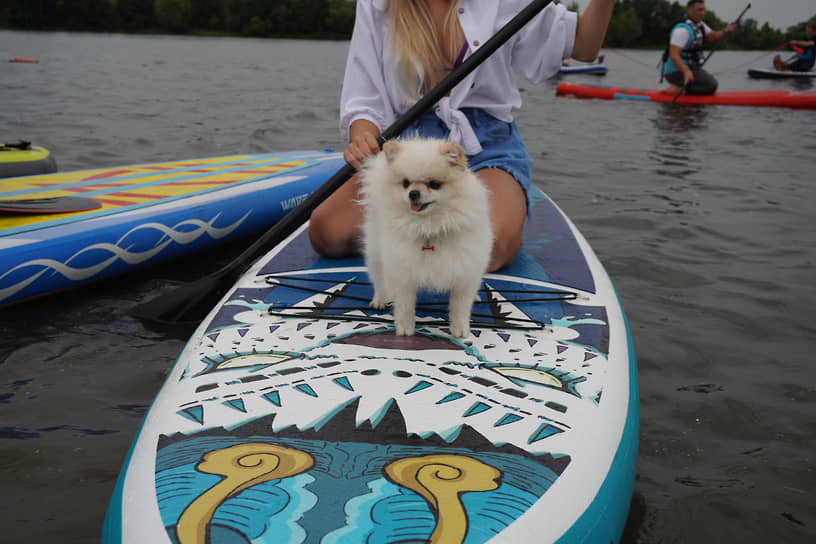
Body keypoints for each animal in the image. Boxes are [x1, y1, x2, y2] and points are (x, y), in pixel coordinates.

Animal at [356, 138, 490, 338]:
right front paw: (405, 328)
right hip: (376, 251)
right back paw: (379, 298)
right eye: (406, 183)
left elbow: (460, 307)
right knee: (378, 277)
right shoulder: (403, 272)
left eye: (434, 184)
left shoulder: (465, 270)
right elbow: (404, 306)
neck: (430, 226)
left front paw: (460, 329)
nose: (413, 193)